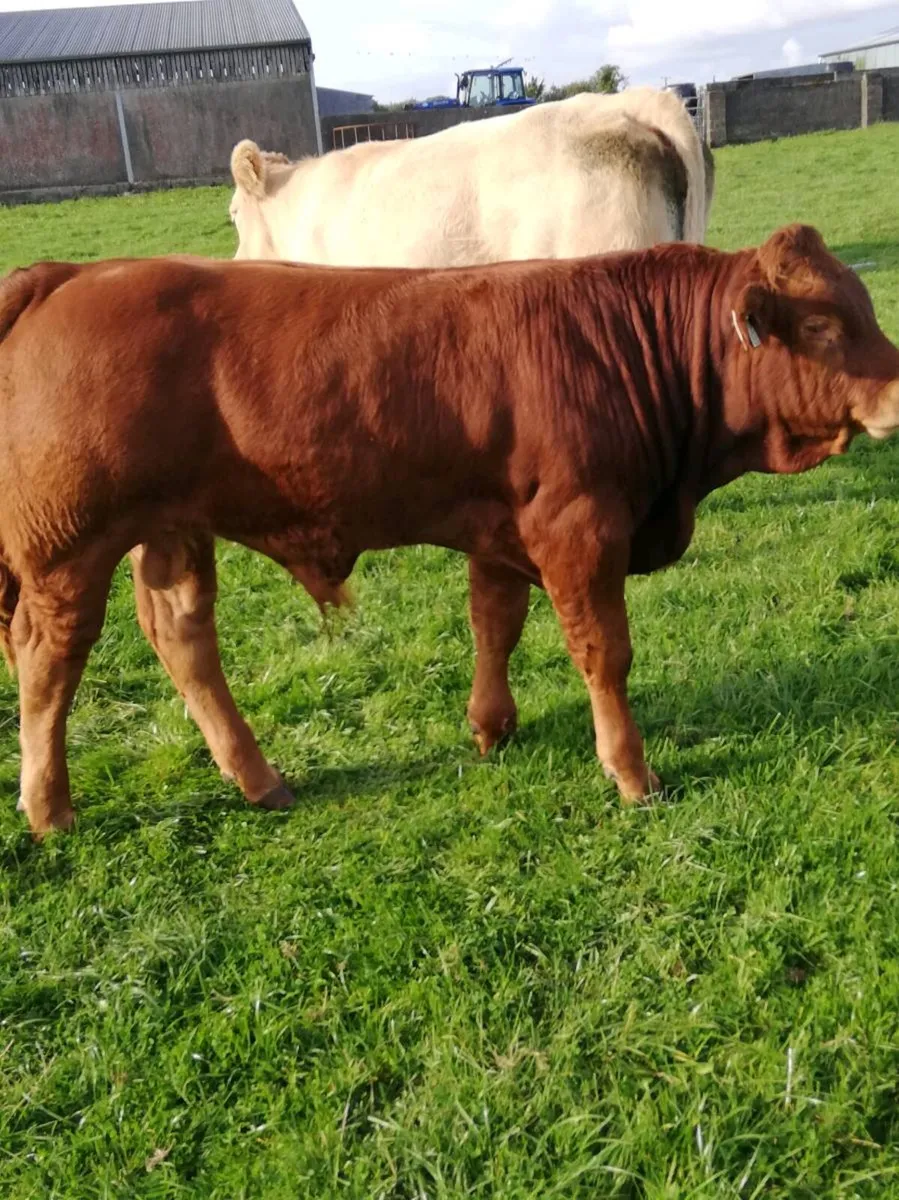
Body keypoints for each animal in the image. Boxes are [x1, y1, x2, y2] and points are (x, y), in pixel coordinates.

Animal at [1, 224, 898, 837]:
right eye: (822, 327)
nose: (895, 393)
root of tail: (69, 274)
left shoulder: (503, 525)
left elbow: (495, 623)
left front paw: (490, 727)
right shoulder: (578, 526)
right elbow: (603, 653)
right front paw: (630, 773)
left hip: (173, 529)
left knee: (182, 639)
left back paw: (259, 779)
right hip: (68, 545)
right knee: (48, 659)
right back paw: (49, 810)